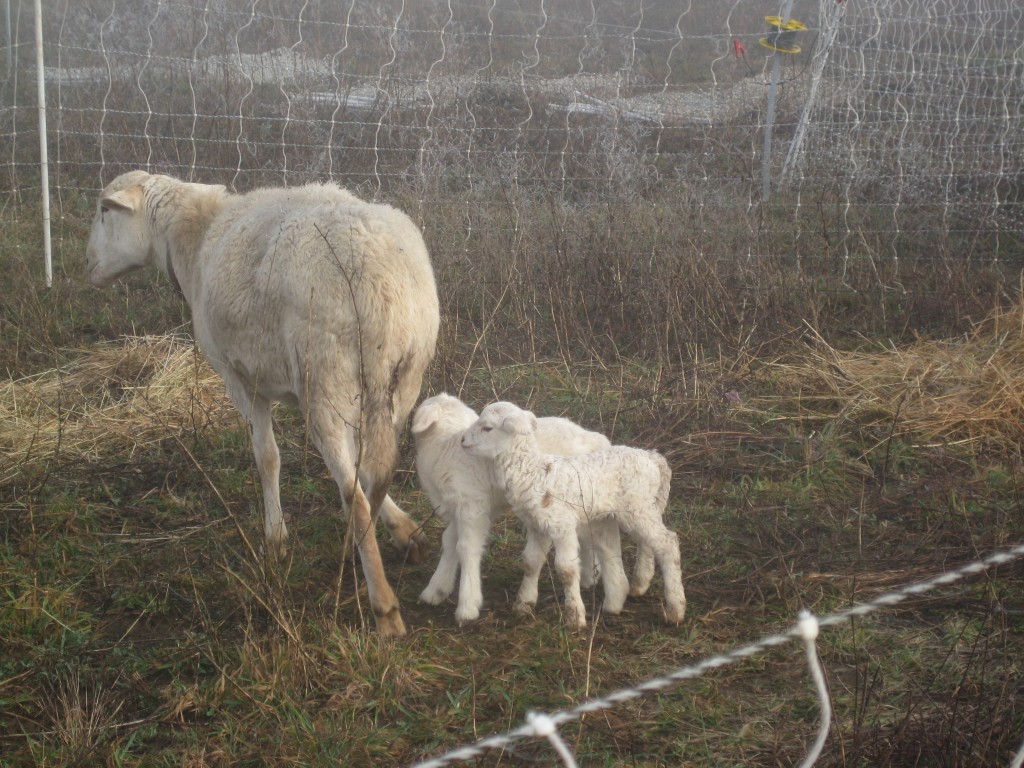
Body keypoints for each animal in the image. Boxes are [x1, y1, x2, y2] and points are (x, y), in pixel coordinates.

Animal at [86, 169, 438, 638]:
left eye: (104, 210)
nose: (87, 265)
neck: (194, 235)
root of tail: (381, 284)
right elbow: (358, 468)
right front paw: (404, 529)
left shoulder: (239, 378)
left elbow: (267, 457)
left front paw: (276, 538)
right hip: (401, 381)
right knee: (375, 476)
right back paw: (355, 548)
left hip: (325, 383)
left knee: (355, 491)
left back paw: (382, 605)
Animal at [411, 397, 626, 626]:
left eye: (486, 427)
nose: (463, 439)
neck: (444, 448)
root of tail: (598, 440)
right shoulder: (458, 508)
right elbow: (449, 541)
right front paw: (436, 590)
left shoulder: (472, 506)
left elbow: (466, 548)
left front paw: (467, 606)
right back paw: (589, 576)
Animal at [464, 399, 688, 626]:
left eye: (487, 428)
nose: (463, 441)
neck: (533, 471)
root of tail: (652, 458)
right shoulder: (536, 525)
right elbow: (530, 562)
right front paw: (523, 605)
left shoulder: (561, 524)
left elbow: (566, 570)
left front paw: (574, 617)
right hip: (621, 513)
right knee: (628, 547)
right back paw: (622, 597)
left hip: (636, 506)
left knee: (667, 543)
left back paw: (675, 609)